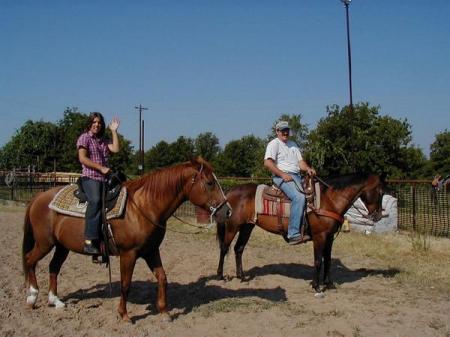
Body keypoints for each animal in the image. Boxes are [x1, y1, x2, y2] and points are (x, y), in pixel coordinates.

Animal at [22, 157, 230, 320]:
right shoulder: (128, 254)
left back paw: (55, 301)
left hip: (61, 246)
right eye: (210, 183)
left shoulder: (151, 251)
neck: (144, 207)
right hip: (45, 243)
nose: (227, 211)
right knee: (30, 260)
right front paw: (124, 315)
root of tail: (38, 197)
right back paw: (32, 297)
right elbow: (125, 284)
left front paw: (164, 311)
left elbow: (162, 277)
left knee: (53, 267)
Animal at [214, 173, 384, 292]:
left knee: (238, 249)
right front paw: (316, 286)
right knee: (224, 248)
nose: (378, 216)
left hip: (247, 227)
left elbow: (328, 260)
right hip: (233, 226)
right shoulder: (320, 236)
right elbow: (318, 261)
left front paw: (329, 284)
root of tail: (230, 192)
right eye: (380, 191)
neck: (329, 200)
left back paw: (242, 276)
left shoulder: (329, 238)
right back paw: (220, 275)